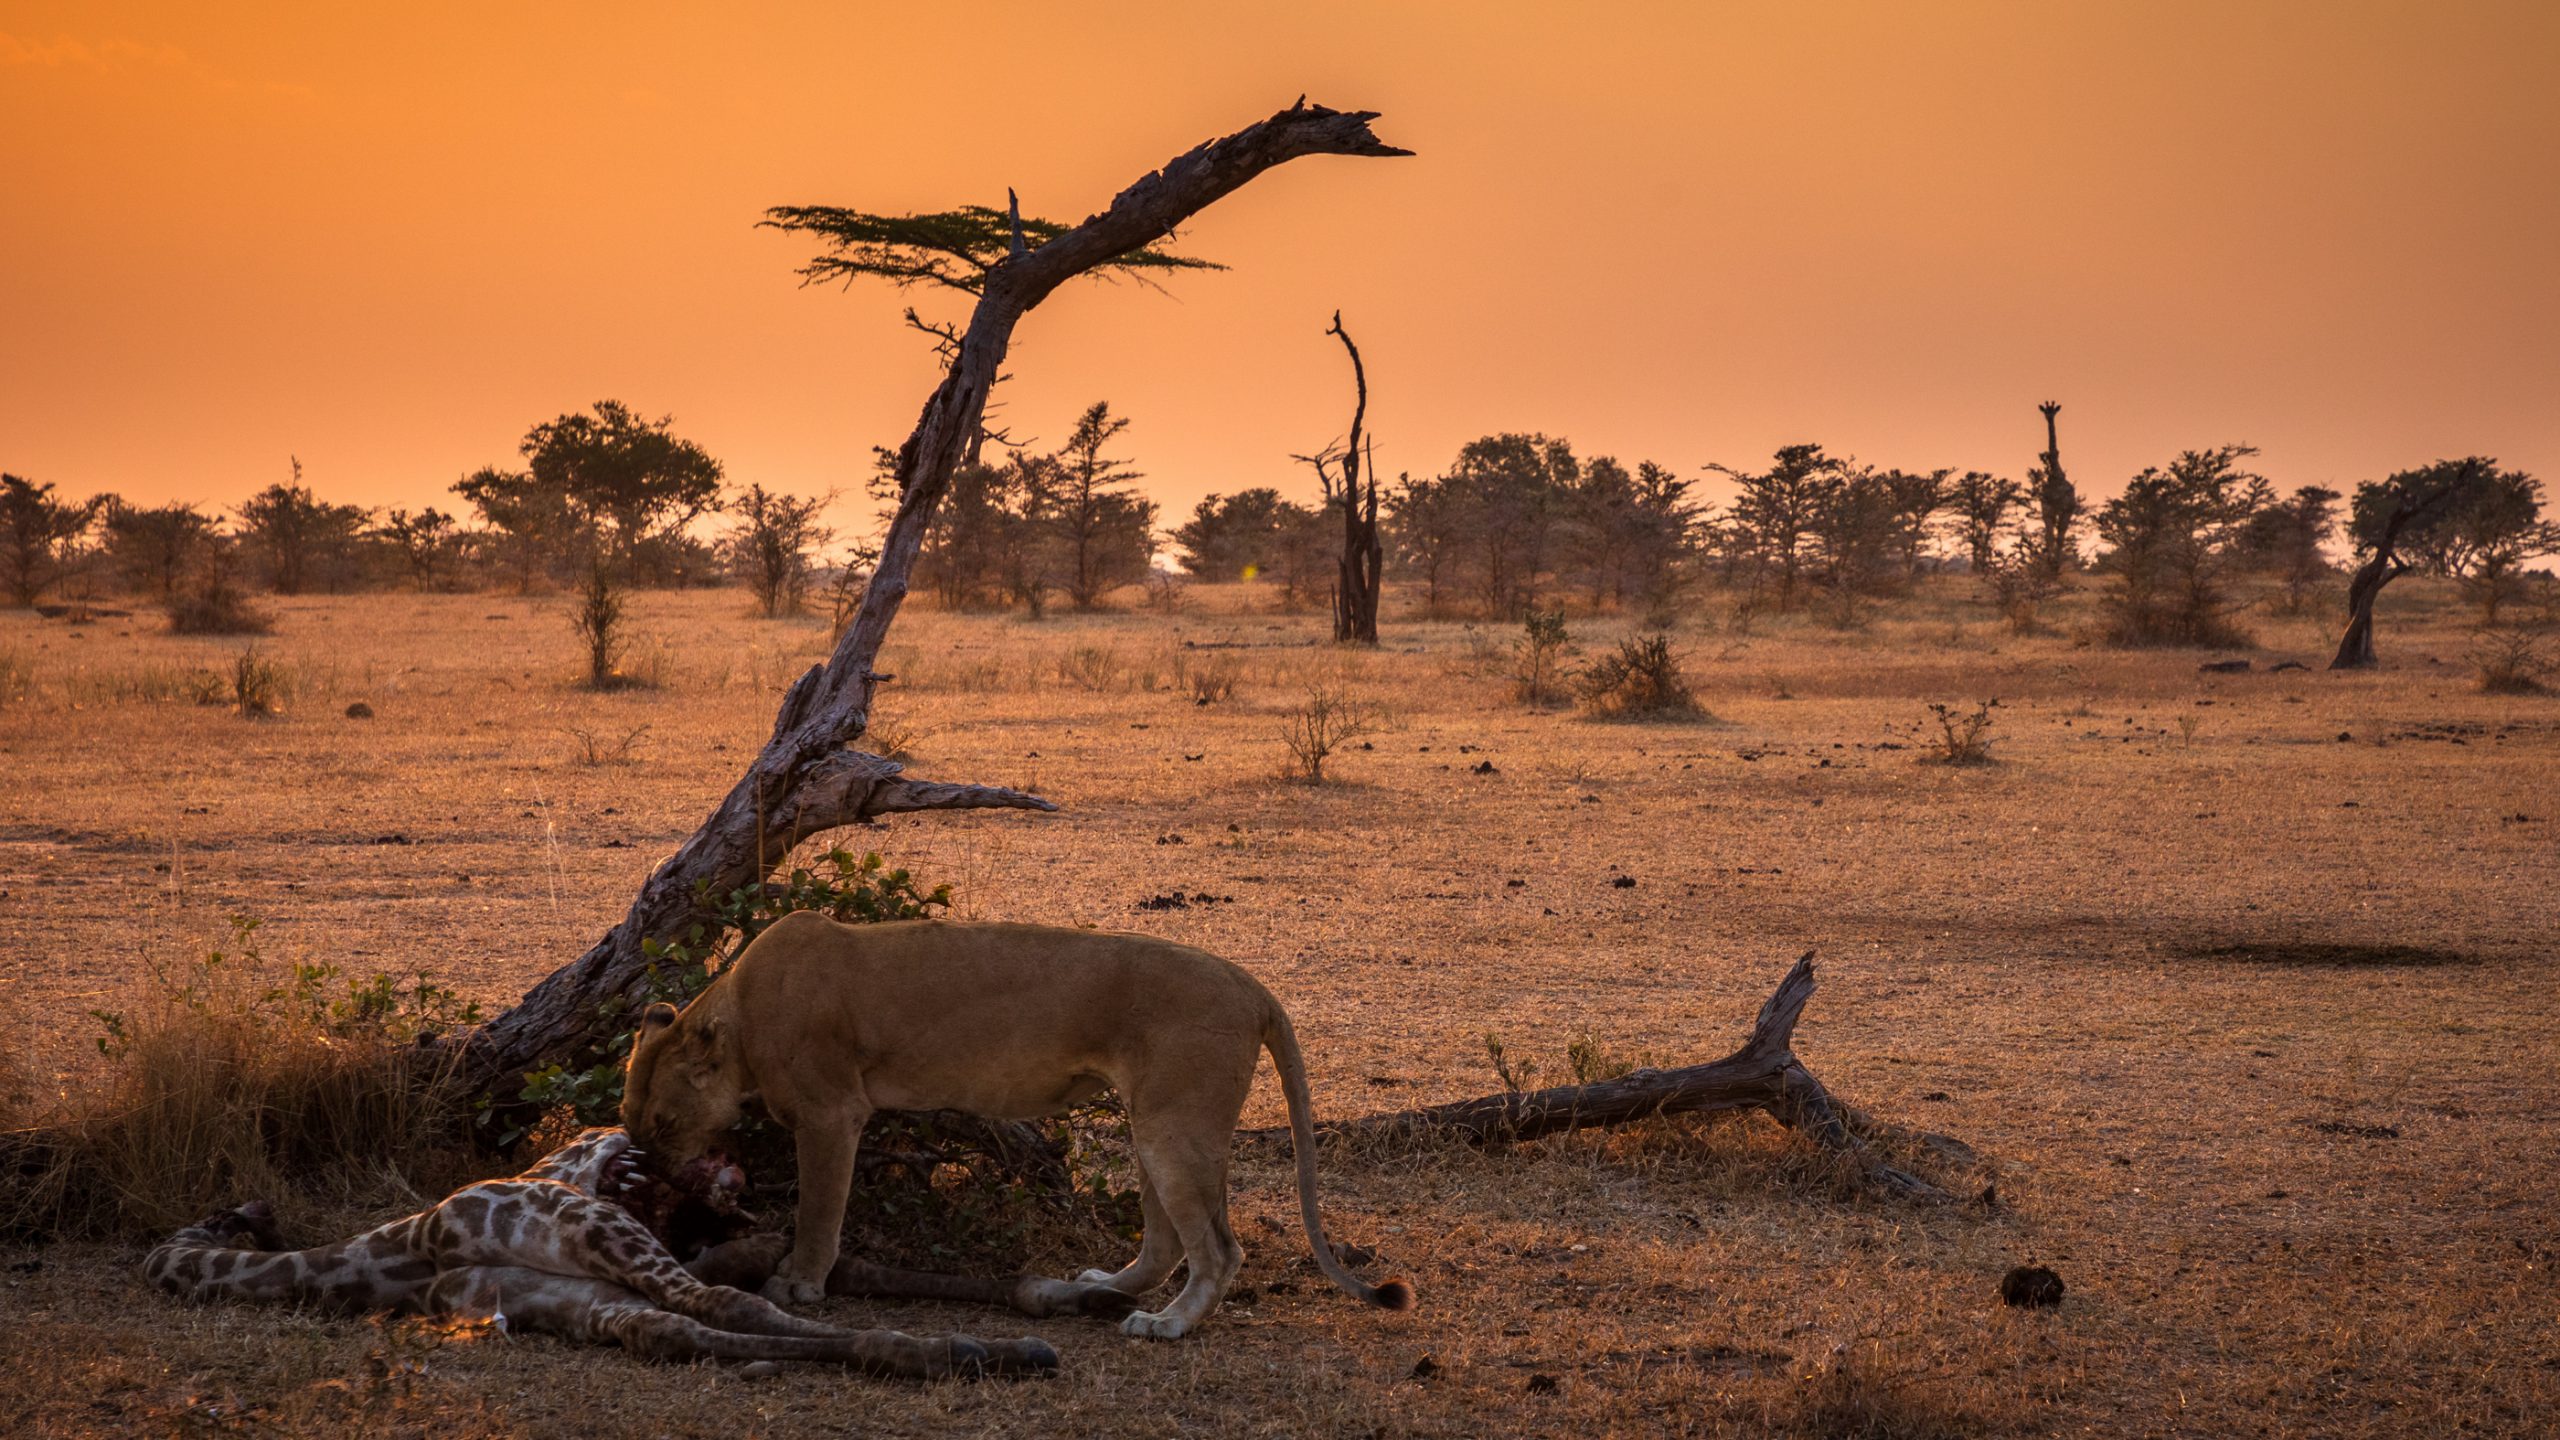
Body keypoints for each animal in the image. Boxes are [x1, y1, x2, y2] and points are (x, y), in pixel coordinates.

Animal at [145, 1127, 1127, 1378]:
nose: (250, 1210)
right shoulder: (599, 1252)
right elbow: (760, 1288)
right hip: (596, 1253)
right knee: (714, 1312)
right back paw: (982, 1350)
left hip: (587, 1271)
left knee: (701, 1315)